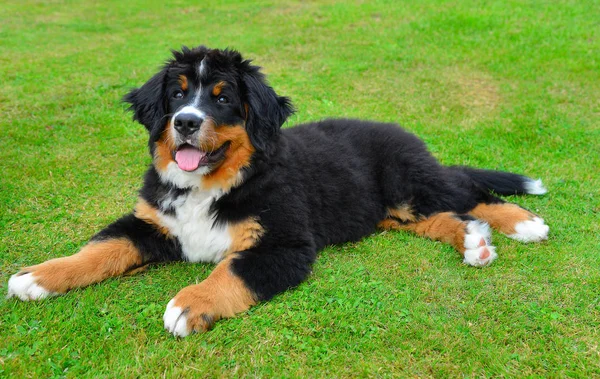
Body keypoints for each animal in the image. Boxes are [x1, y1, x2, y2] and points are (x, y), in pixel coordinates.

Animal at [5, 45, 548, 338]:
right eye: (177, 95)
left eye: (223, 99)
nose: (185, 123)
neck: (213, 186)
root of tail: (405, 133)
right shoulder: (153, 223)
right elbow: (101, 249)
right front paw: (39, 277)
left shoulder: (284, 242)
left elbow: (231, 272)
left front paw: (189, 304)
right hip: (392, 210)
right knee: (440, 217)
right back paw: (474, 242)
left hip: (407, 181)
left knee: (466, 189)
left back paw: (522, 223)